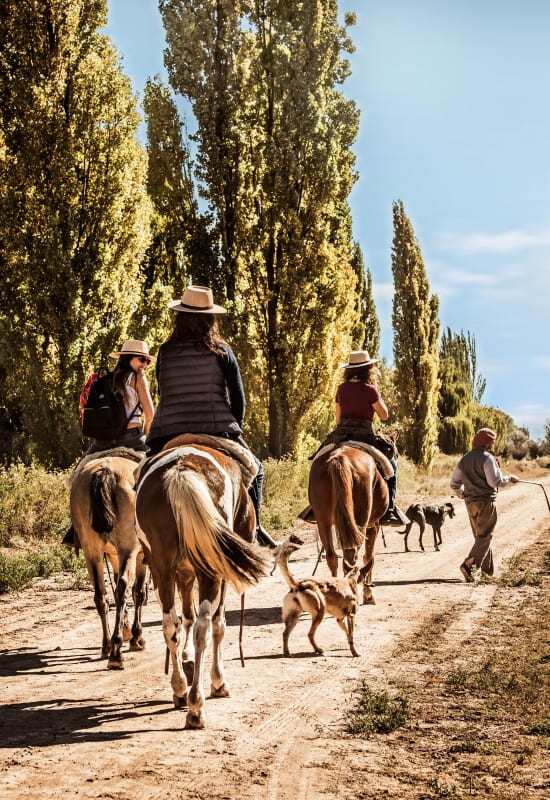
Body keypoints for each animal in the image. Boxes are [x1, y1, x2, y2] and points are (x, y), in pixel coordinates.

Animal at [70, 454, 150, 664]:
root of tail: (104, 471)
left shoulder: (115, 556)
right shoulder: (139, 556)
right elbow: (138, 592)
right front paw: (136, 636)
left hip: (92, 553)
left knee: (101, 596)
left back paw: (107, 645)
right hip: (128, 550)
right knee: (122, 589)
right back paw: (116, 650)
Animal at [136, 440, 270, 728]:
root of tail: (181, 469)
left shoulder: (184, 573)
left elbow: (184, 617)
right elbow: (219, 624)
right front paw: (219, 682)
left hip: (162, 568)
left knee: (171, 626)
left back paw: (179, 690)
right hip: (210, 571)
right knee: (204, 628)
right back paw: (196, 706)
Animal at [308, 444, 390, 608]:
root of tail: (340, 457)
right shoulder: (373, 525)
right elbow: (369, 557)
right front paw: (368, 595)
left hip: (323, 522)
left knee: (332, 557)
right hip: (360, 523)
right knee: (351, 559)